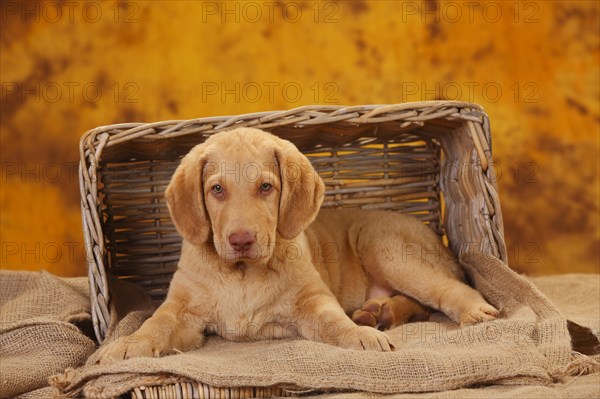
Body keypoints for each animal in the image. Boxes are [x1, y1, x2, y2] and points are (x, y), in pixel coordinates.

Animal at [97, 127, 496, 362]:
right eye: (217, 189)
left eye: (266, 187)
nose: (241, 240)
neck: (242, 274)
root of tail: (437, 240)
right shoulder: (181, 312)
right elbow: (155, 324)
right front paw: (127, 345)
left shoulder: (313, 303)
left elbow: (335, 323)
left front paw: (359, 336)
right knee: (417, 304)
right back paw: (377, 312)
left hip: (384, 248)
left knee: (445, 289)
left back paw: (470, 311)